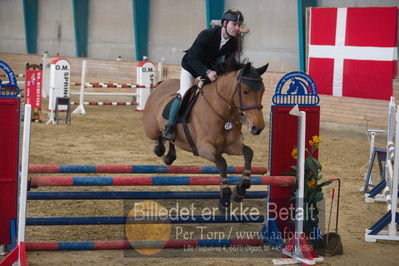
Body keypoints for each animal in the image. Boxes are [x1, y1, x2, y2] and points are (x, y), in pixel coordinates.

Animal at [144, 58, 268, 212]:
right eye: (245, 91)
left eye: (263, 91)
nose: (258, 128)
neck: (222, 111)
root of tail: (161, 85)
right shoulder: (204, 148)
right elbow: (222, 163)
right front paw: (225, 197)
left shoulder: (231, 146)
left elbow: (248, 153)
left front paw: (240, 189)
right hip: (151, 128)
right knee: (158, 137)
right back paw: (160, 147)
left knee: (171, 141)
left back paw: (169, 156)